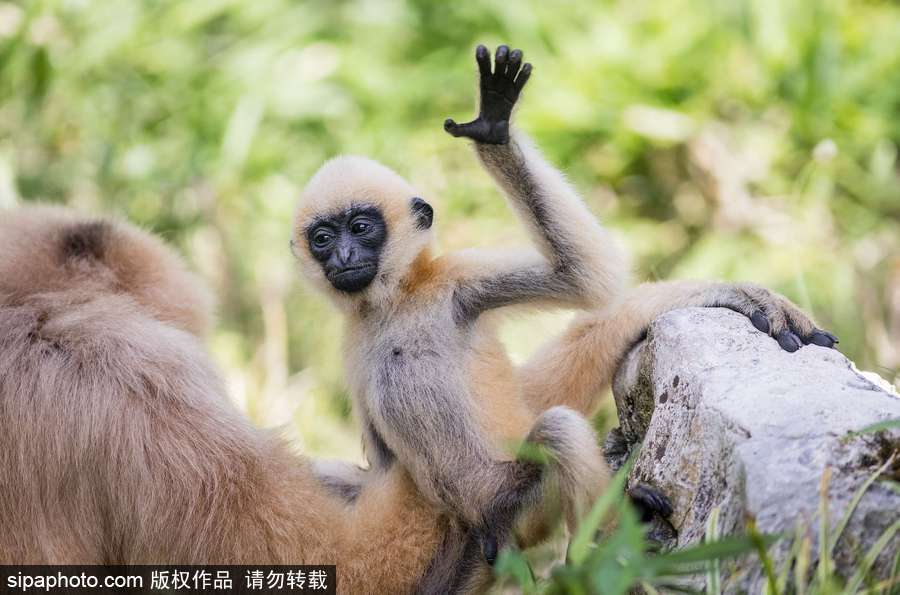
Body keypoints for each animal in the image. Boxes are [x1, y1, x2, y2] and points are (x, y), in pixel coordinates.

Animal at [292, 44, 838, 554]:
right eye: (323, 238)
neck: (394, 303)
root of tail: (490, 529)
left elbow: (586, 278)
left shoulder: (456, 284)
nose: (342, 255)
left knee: (557, 428)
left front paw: (494, 130)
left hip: (524, 508)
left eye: (362, 229)